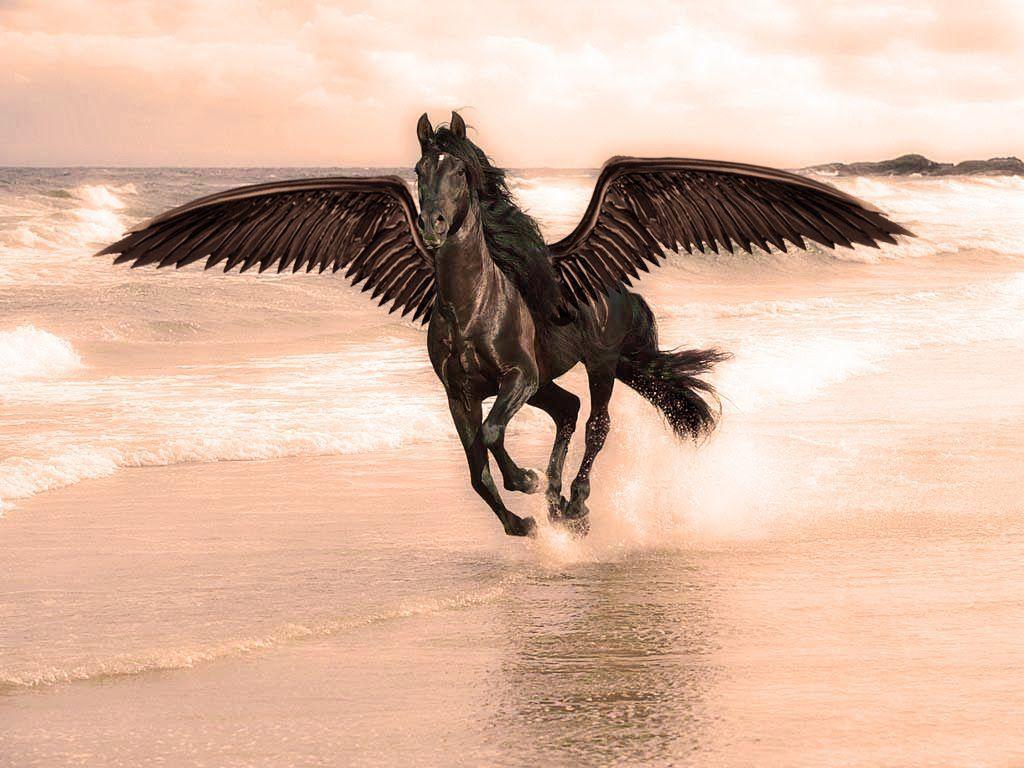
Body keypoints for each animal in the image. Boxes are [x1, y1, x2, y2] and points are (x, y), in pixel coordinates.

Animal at [99, 110, 912, 538]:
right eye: (418, 172)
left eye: (462, 171)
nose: (429, 227)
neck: (472, 306)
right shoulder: (458, 391)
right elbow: (471, 462)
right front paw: (520, 518)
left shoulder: (515, 376)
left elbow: (494, 436)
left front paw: (526, 487)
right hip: (560, 380)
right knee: (570, 412)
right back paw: (554, 504)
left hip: (603, 364)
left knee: (595, 423)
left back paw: (572, 502)